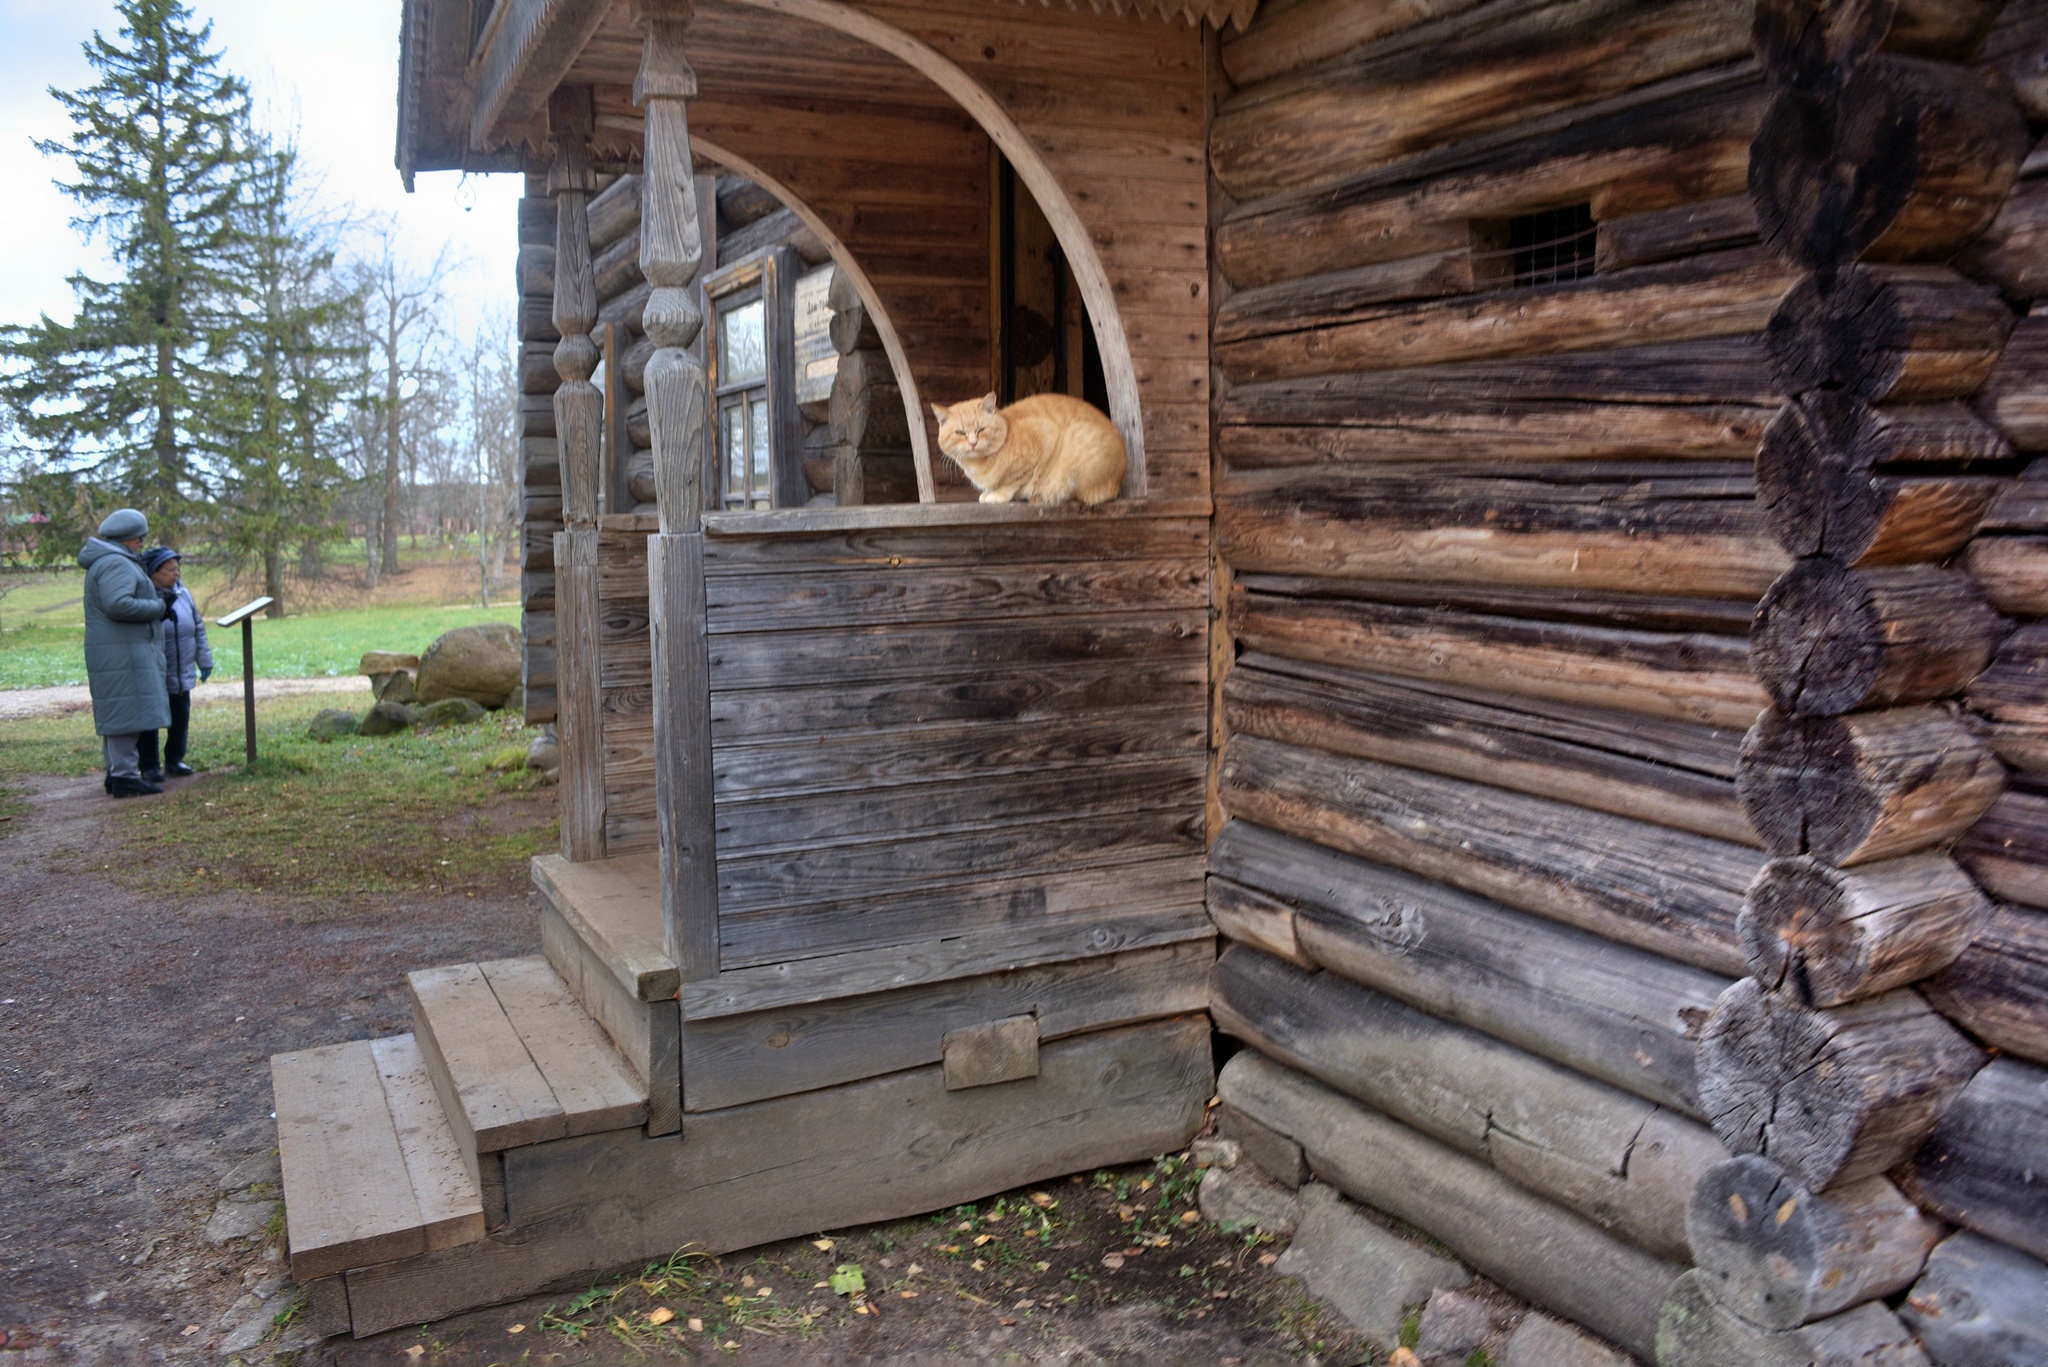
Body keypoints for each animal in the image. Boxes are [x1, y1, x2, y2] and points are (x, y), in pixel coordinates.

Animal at [937, 393, 1130, 506]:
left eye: (981, 430)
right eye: (960, 433)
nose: (973, 443)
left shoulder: (1044, 435)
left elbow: (1014, 481)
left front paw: (998, 494)